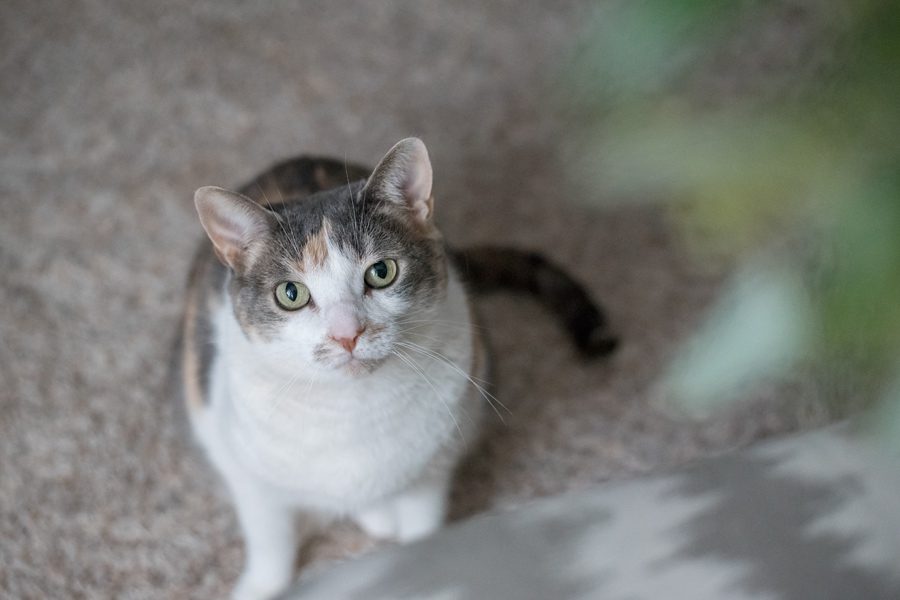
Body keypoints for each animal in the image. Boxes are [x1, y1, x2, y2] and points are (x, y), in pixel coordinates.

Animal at [179, 138, 616, 596]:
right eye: (291, 294)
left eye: (382, 271)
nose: (347, 334)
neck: (351, 410)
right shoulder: (250, 476)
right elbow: (270, 541)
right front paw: (262, 586)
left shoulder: (432, 469)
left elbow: (422, 527)